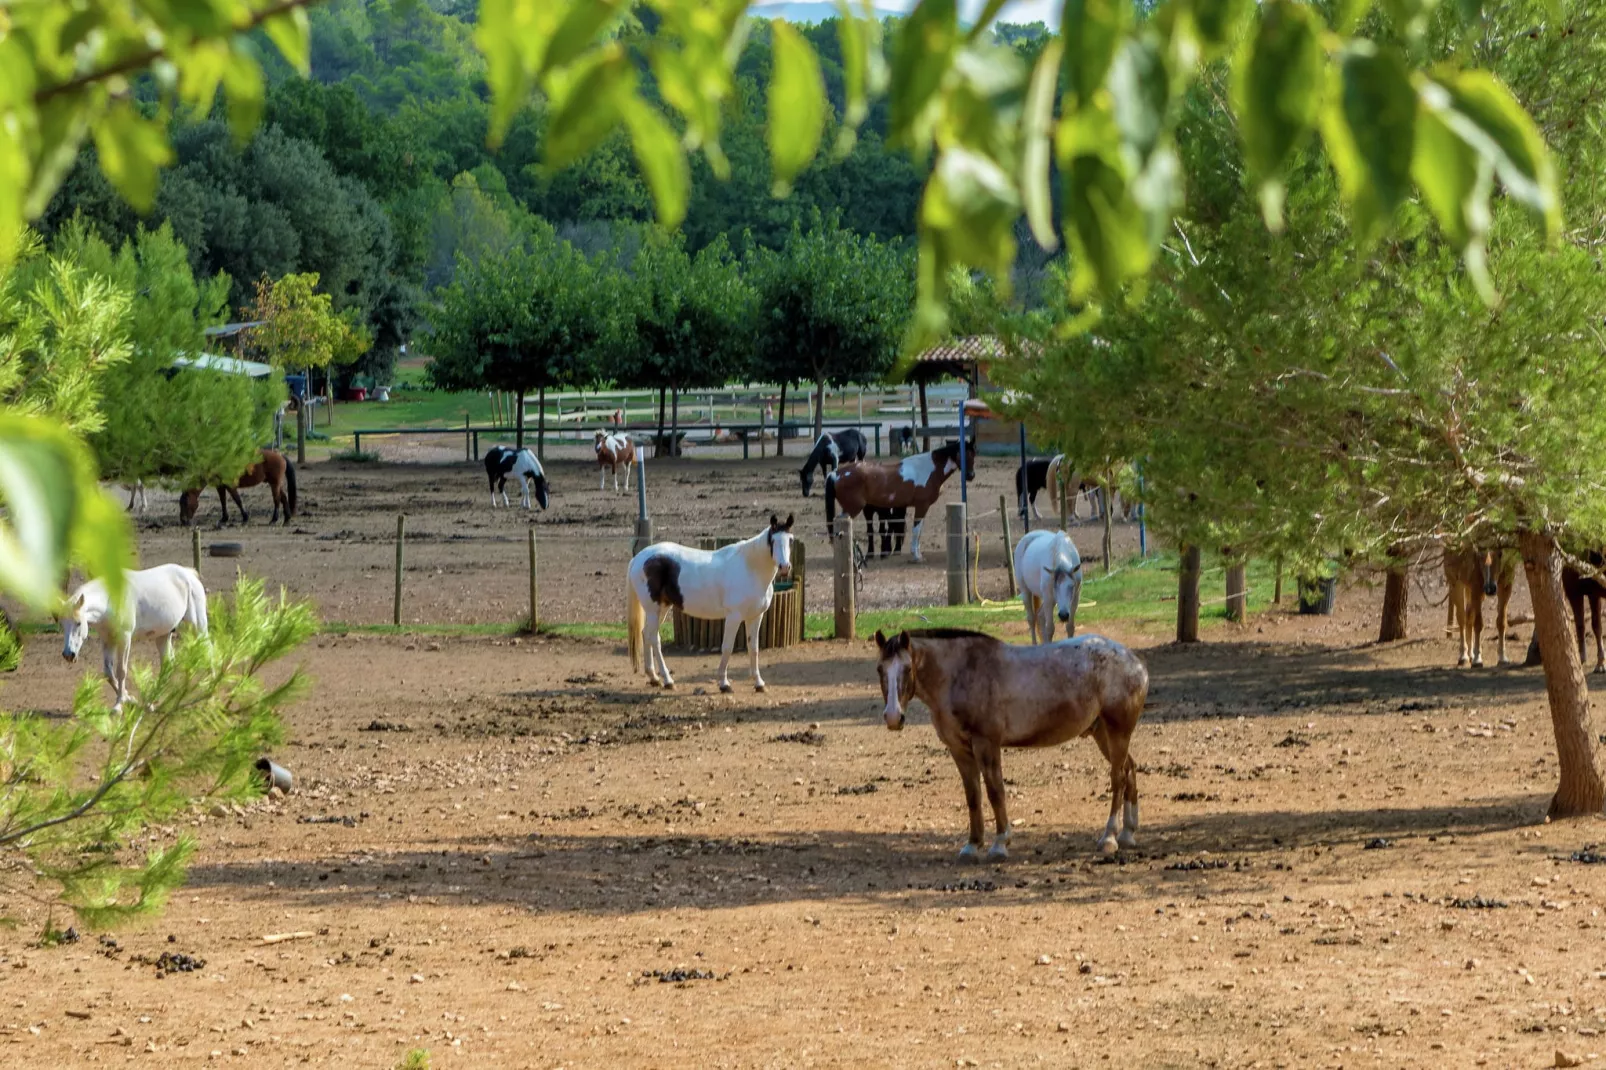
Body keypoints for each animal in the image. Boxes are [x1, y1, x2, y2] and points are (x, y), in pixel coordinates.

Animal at [60, 562, 210, 713]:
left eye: (78, 623)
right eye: (63, 624)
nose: (68, 655)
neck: (109, 600)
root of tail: (188, 574)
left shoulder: (125, 638)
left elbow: (121, 670)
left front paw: (119, 705)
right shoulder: (108, 640)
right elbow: (109, 673)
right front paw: (130, 699)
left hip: (198, 626)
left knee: (208, 650)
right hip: (163, 635)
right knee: (168, 663)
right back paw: (153, 703)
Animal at [629, 514, 799, 690]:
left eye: (791, 540)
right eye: (773, 540)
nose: (785, 567)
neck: (750, 567)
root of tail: (639, 558)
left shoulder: (755, 616)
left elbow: (753, 648)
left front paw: (759, 683)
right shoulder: (734, 617)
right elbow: (727, 647)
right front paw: (724, 683)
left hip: (661, 609)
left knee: (646, 634)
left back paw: (654, 677)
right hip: (653, 610)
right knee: (654, 639)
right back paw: (667, 680)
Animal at [822, 436, 970, 562]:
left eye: (972, 454)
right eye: (964, 454)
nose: (971, 475)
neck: (928, 469)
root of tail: (836, 474)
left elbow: (916, 530)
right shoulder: (921, 506)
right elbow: (916, 530)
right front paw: (916, 556)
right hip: (853, 509)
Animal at [873, 626, 1149, 861]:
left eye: (907, 669)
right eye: (879, 669)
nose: (893, 717)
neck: (962, 673)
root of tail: (1135, 663)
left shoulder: (987, 744)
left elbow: (995, 791)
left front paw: (999, 844)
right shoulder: (959, 750)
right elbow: (973, 795)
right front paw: (972, 845)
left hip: (1117, 732)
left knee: (1118, 778)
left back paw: (1109, 837)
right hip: (1104, 735)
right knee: (1129, 769)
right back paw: (1128, 833)